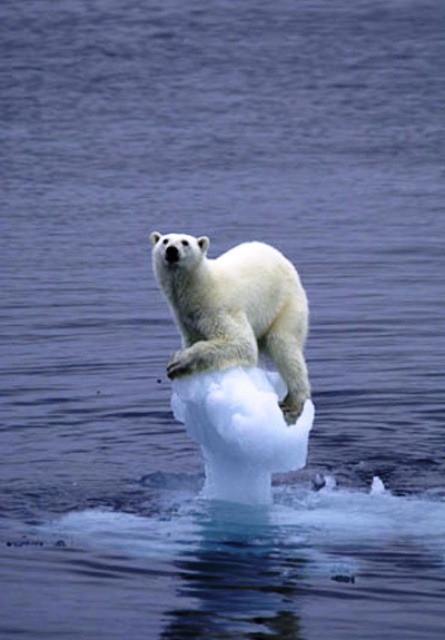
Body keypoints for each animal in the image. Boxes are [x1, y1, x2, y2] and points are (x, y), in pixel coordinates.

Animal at [150, 231, 311, 421]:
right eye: (165, 240)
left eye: (185, 242)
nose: (171, 250)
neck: (199, 287)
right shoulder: (186, 319)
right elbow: (194, 338)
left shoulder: (218, 308)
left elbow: (241, 343)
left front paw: (177, 362)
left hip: (286, 304)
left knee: (284, 346)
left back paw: (293, 403)